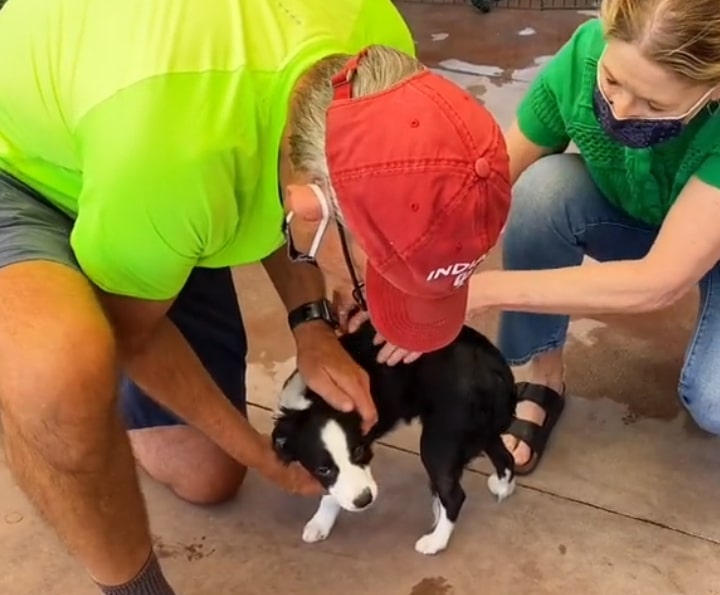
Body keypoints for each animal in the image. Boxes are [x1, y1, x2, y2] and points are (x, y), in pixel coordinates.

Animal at [272, 318, 516, 556]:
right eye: (322, 469)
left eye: (359, 450)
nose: (364, 500)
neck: (314, 403)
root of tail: (494, 369)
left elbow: (332, 494)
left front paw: (320, 522)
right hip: (482, 428)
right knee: (505, 456)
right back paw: (502, 487)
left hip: (440, 439)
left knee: (455, 495)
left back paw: (435, 541)